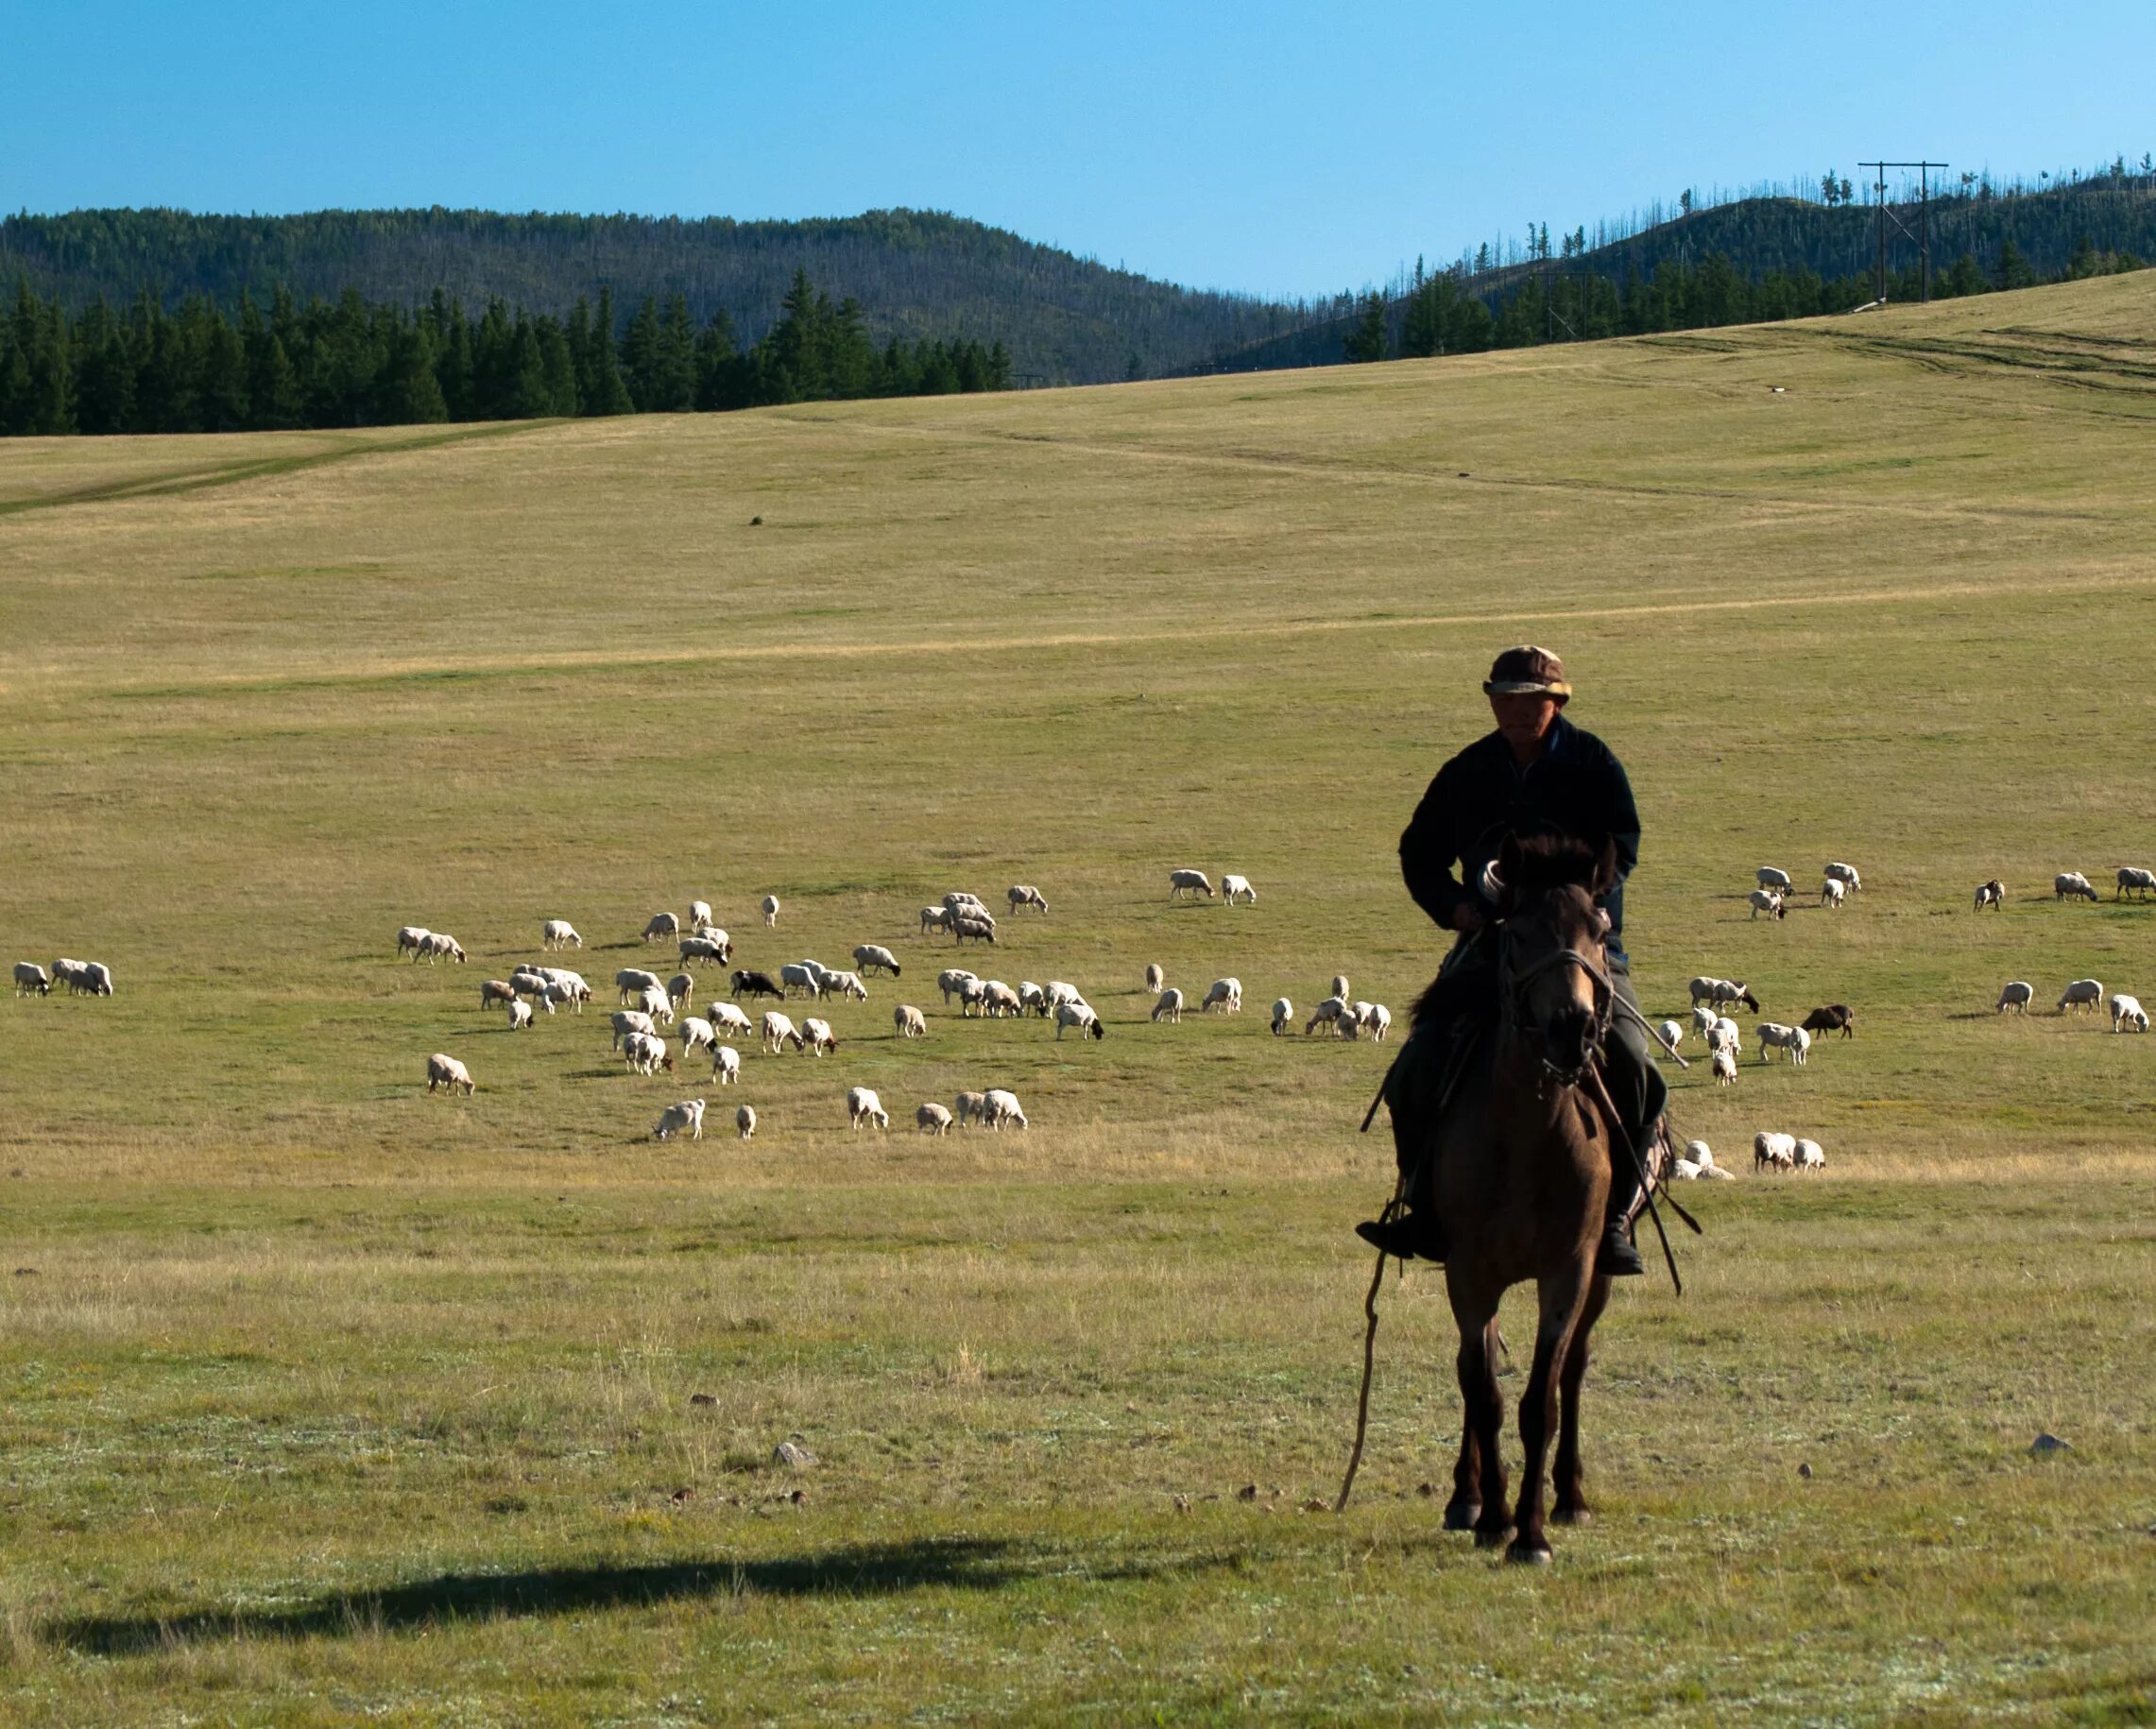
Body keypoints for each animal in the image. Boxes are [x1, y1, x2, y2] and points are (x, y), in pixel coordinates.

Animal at [1388, 828, 1655, 1551]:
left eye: (1599, 930)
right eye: (1517, 934)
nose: (1572, 1027)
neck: (1527, 1132)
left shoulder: (1568, 1270)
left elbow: (1542, 1401)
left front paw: (1531, 1533)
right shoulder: (1469, 1272)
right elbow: (1484, 1392)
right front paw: (1492, 1518)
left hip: (1598, 1276)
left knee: (1574, 1373)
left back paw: (1570, 1496)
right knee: (1468, 1368)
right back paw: (1468, 1497)